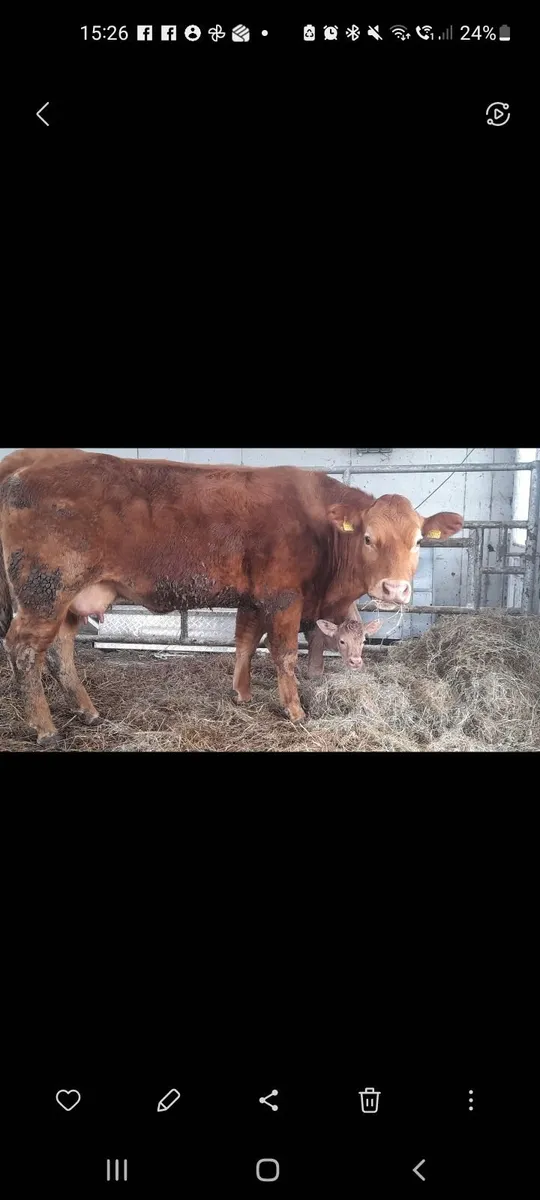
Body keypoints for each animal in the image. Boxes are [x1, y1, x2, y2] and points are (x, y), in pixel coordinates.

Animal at [0, 448, 463, 744]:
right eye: (368, 537)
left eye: (418, 540)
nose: (395, 588)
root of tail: (26, 466)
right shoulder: (283, 596)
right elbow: (283, 653)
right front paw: (294, 710)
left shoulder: (252, 598)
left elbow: (245, 641)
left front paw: (241, 693)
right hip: (45, 589)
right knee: (23, 650)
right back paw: (46, 730)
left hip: (70, 599)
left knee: (60, 651)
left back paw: (89, 713)